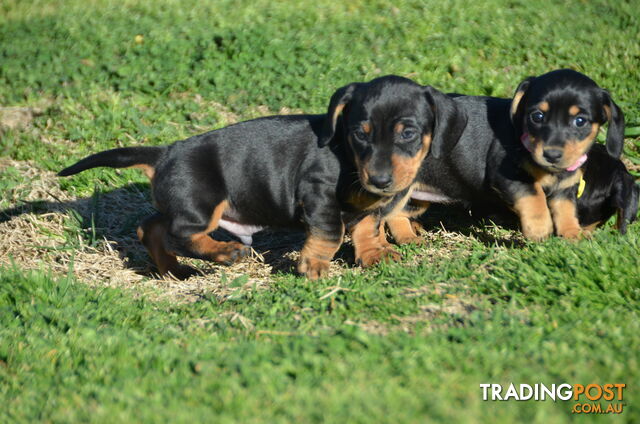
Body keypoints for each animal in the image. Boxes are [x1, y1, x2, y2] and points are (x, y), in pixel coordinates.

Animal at [60, 75, 460, 282]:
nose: (379, 180)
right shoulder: (318, 196)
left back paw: (174, 270)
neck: (349, 159)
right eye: (360, 134)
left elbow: (367, 226)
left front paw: (374, 255)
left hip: (183, 202)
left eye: (408, 133)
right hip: (203, 202)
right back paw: (225, 252)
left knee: (151, 228)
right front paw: (313, 266)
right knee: (180, 234)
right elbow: (331, 234)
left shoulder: (370, 206)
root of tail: (165, 153)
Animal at [384, 68, 624, 242]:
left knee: (397, 214)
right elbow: (535, 197)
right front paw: (539, 229)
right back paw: (406, 239)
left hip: (417, 197)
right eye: (537, 116)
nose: (552, 154)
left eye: (580, 121)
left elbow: (566, 211)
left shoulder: (565, 188)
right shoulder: (509, 176)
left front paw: (572, 235)